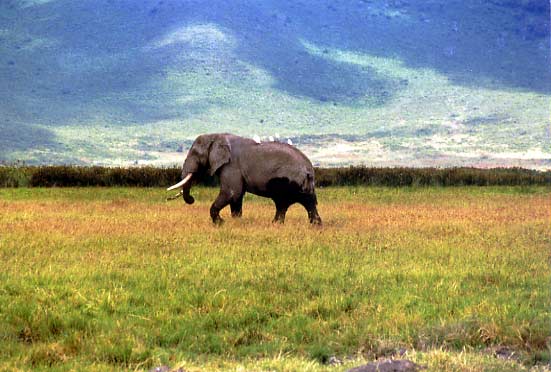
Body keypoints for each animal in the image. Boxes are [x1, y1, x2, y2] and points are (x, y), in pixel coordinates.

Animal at [168, 134, 324, 227]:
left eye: (196, 154)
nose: (192, 199)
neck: (217, 136)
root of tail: (309, 169)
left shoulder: (231, 166)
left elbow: (231, 193)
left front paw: (221, 223)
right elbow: (236, 197)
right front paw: (236, 222)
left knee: (290, 203)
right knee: (299, 203)